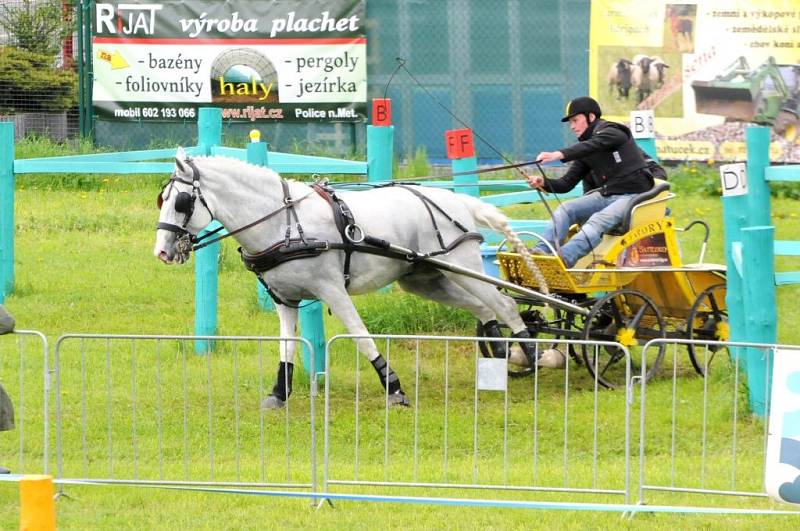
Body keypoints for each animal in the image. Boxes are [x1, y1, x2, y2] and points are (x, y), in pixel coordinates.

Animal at [153, 148, 552, 410]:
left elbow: (360, 336)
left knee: (503, 303)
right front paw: (279, 393)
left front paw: (394, 388)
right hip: (426, 278)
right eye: (162, 199)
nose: (162, 252)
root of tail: (458, 201)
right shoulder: (285, 299)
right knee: (483, 309)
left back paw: (532, 353)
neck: (284, 222)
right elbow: (287, 346)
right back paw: (502, 356)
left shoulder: (331, 289)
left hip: (461, 263)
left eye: (182, 201)